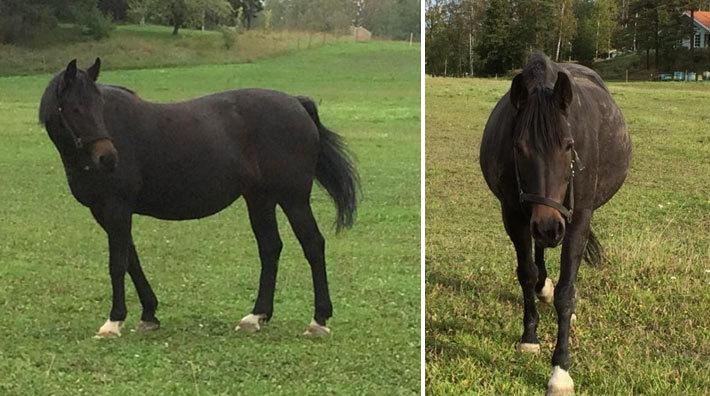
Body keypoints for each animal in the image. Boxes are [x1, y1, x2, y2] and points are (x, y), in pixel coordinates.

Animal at [39, 58, 362, 338]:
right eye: (75, 108)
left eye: (99, 105)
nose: (108, 158)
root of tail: (297, 104)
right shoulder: (104, 212)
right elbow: (132, 259)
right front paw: (149, 314)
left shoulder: (117, 208)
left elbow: (117, 262)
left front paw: (114, 321)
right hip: (260, 199)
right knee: (270, 248)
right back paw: (256, 316)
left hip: (293, 199)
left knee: (313, 245)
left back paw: (318, 320)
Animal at [482, 53, 632, 396]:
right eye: (519, 147)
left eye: (568, 145)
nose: (549, 227)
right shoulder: (514, 214)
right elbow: (526, 273)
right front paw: (529, 337)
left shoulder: (577, 220)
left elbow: (567, 290)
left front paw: (560, 370)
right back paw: (543, 288)